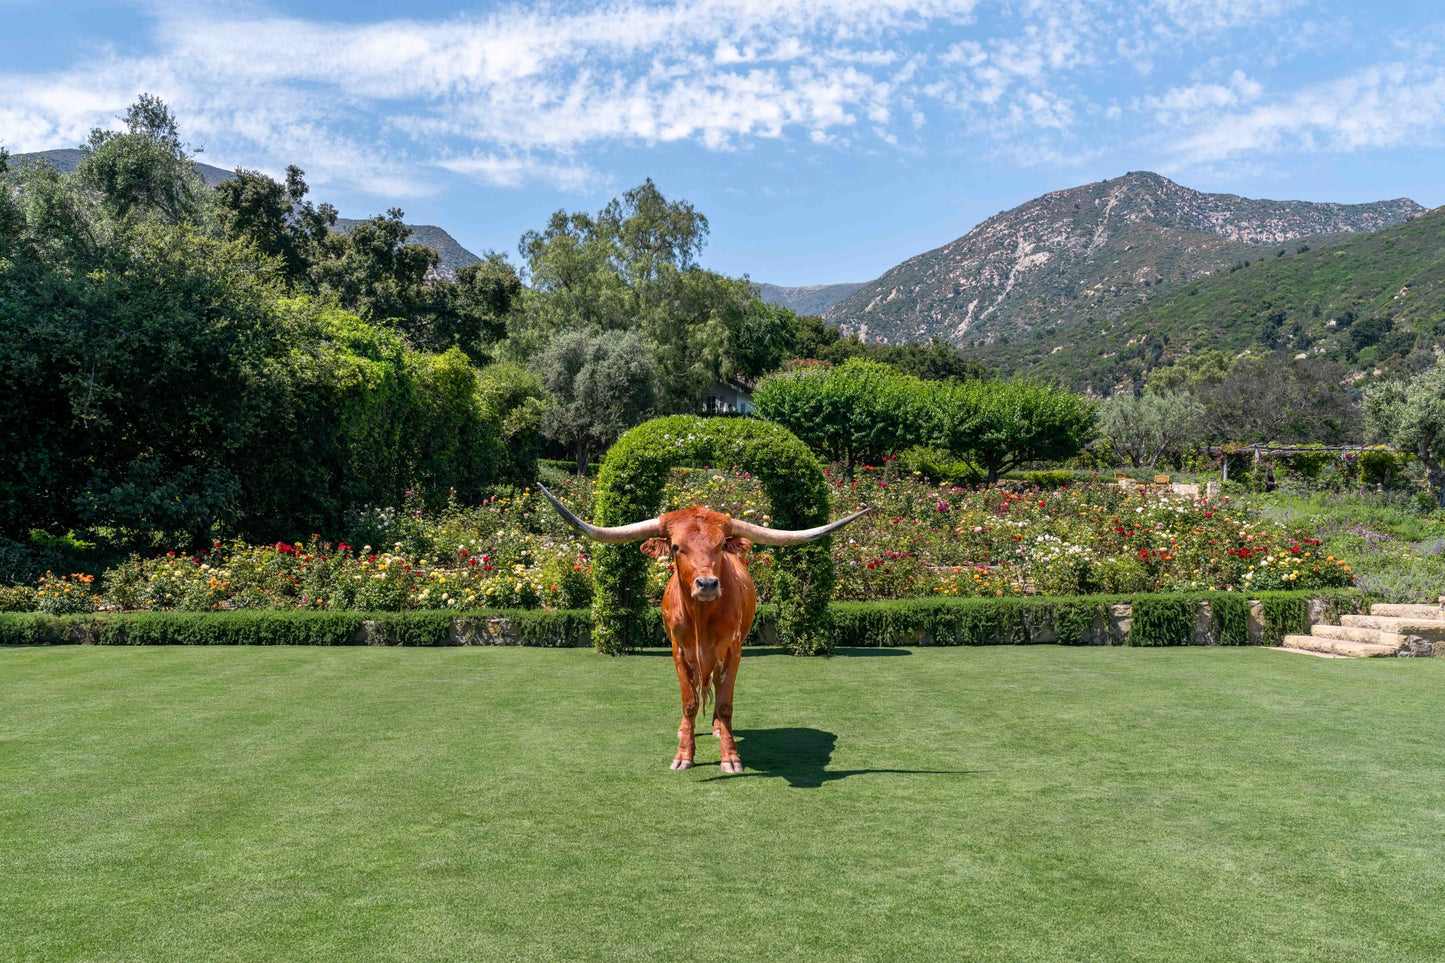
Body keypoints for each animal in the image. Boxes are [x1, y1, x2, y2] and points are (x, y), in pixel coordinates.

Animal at [534, 480, 861, 775]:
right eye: (677, 547)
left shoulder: (732, 651)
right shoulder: (679, 652)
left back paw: (716, 728)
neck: (701, 617)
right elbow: (689, 703)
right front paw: (684, 755)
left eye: (720, 545)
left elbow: (726, 702)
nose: (707, 584)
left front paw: (730, 757)